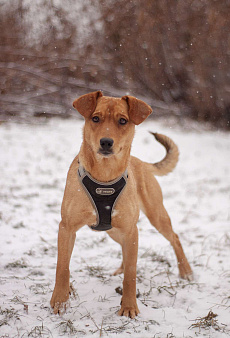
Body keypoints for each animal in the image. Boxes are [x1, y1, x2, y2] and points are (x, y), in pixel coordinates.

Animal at [50, 91, 192, 318]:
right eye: (95, 118)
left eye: (123, 121)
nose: (106, 142)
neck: (104, 175)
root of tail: (142, 163)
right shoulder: (67, 227)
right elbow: (62, 267)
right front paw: (60, 301)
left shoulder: (130, 230)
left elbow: (131, 276)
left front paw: (129, 306)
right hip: (113, 230)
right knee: (126, 250)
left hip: (155, 216)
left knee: (174, 238)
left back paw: (186, 271)